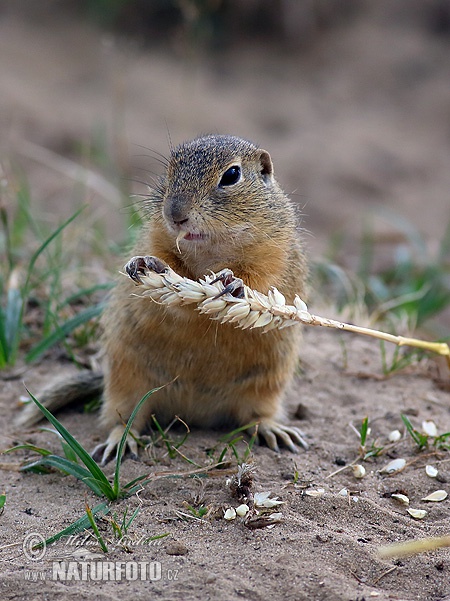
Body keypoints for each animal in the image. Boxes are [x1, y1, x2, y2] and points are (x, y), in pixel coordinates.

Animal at [20, 135, 310, 464]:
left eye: (232, 175)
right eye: (171, 170)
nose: (175, 214)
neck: (210, 250)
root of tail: (196, 415)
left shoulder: (274, 253)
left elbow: (260, 282)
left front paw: (233, 284)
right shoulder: (157, 237)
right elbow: (168, 279)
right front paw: (147, 265)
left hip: (266, 386)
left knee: (255, 417)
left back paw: (275, 431)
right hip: (127, 381)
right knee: (126, 419)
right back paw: (118, 443)